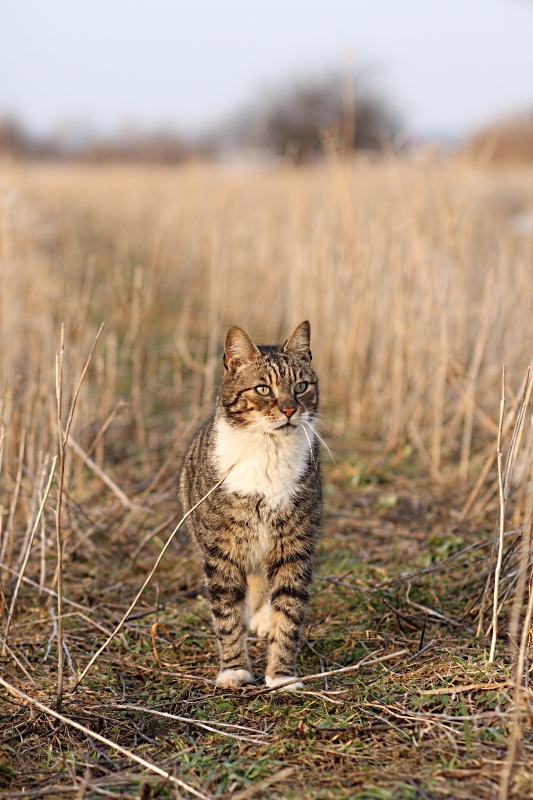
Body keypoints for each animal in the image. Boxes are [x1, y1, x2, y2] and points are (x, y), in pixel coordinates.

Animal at [179, 322, 320, 692]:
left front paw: (282, 676)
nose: (289, 410)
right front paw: (234, 670)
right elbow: (227, 614)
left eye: (301, 386)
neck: (268, 452)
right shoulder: (221, 550)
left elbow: (289, 613)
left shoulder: (294, 547)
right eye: (263, 389)